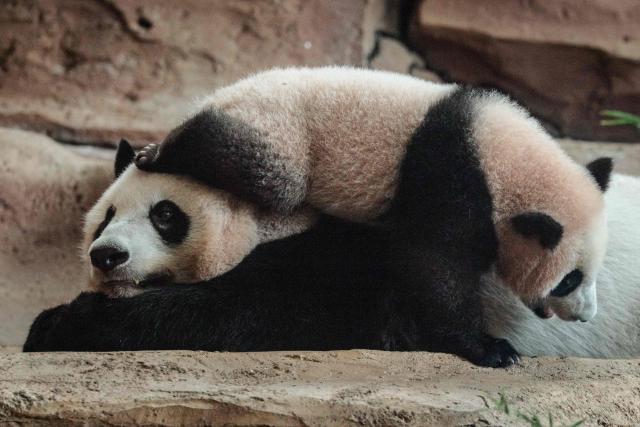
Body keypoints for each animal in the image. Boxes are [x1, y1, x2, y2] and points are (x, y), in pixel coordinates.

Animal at [23, 172, 640, 360]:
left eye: (165, 216)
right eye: (103, 218)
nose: (106, 256)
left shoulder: (360, 262)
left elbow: (248, 314)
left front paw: (61, 324)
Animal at [101, 66, 612, 323]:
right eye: (569, 280)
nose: (585, 316)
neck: (502, 155)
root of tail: (228, 92)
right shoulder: (449, 174)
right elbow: (432, 265)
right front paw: (489, 350)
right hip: (278, 130)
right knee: (265, 175)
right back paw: (159, 153)